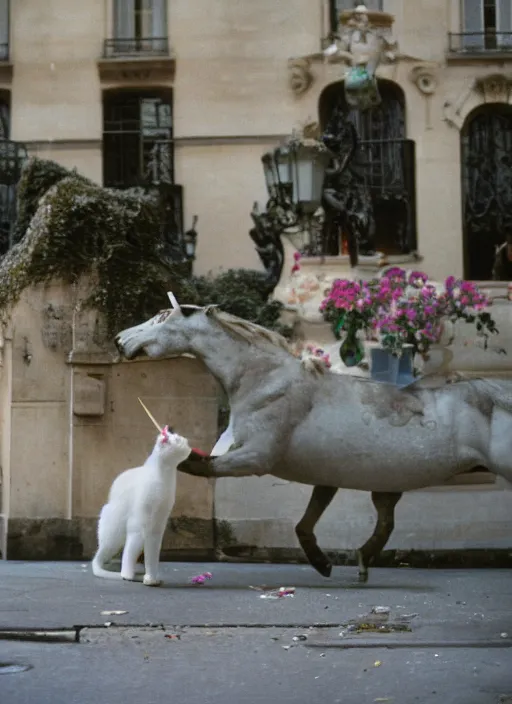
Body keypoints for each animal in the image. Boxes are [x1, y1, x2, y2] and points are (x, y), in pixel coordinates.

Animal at [91, 426, 191, 584]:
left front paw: (151, 578)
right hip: (113, 533)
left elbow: (152, 555)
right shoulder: (139, 523)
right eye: (177, 438)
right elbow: (131, 549)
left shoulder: (157, 527)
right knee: (98, 557)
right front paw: (127, 574)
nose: (186, 440)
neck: (164, 479)